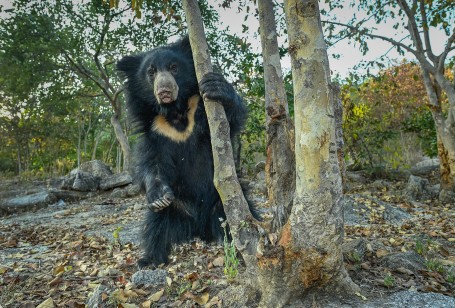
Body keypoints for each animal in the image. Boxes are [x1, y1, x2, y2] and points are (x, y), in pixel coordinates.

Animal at [117, 36, 258, 268]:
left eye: (174, 68)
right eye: (151, 72)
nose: (164, 90)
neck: (175, 111)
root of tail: (199, 229)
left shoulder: (201, 112)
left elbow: (230, 122)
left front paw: (217, 86)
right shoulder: (156, 131)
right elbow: (153, 163)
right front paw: (158, 196)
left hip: (222, 204)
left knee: (239, 222)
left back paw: (241, 251)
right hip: (175, 208)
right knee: (155, 227)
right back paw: (149, 260)